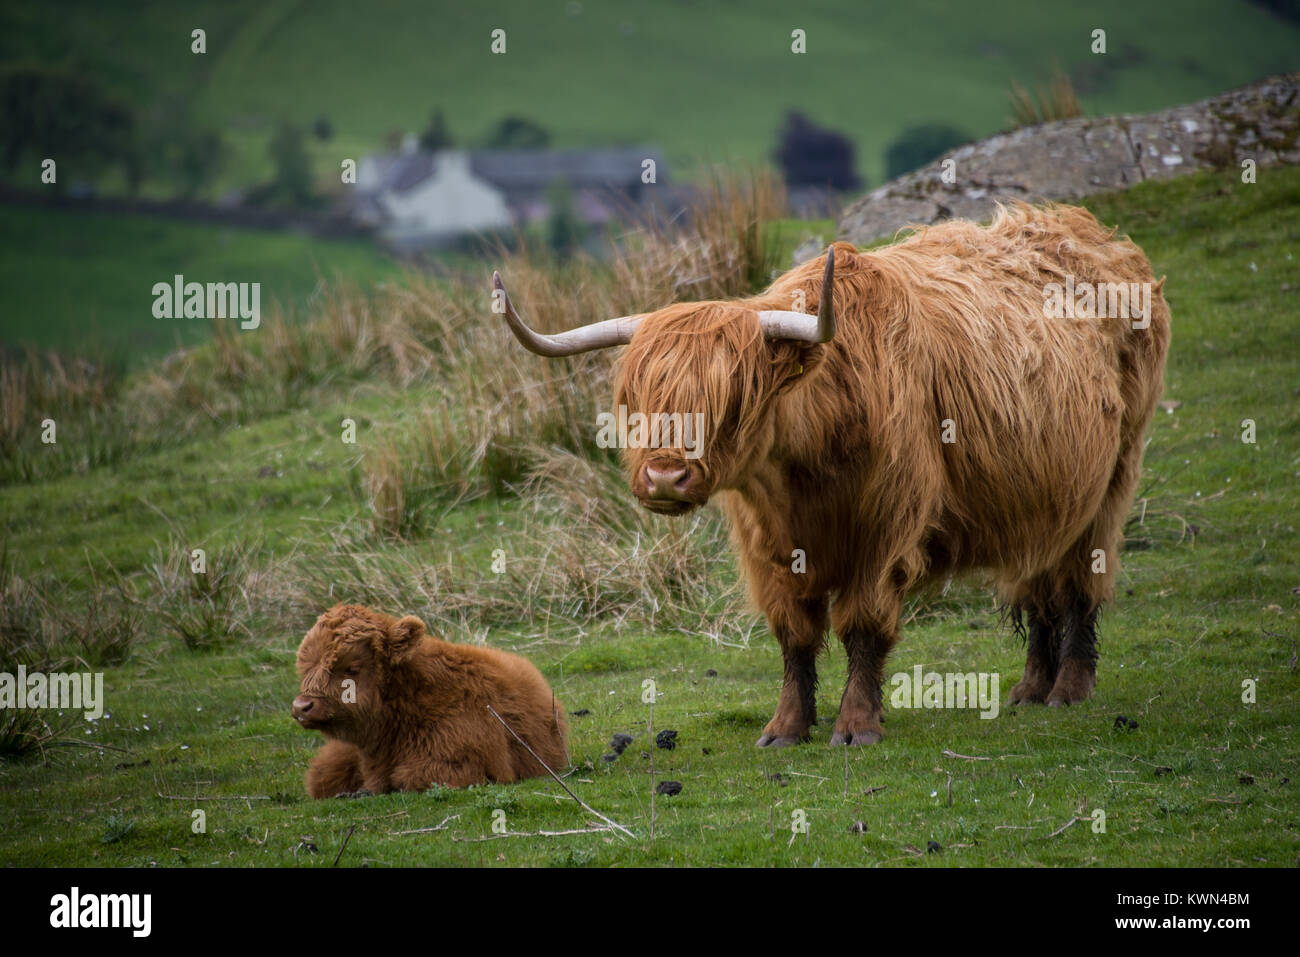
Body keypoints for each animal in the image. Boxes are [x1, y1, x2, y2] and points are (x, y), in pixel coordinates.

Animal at [492, 202, 1170, 747]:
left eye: (733, 399)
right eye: (635, 399)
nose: (663, 477)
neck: (800, 479)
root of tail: (1091, 233)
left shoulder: (887, 532)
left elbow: (861, 626)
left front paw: (855, 725)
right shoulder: (765, 547)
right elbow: (794, 634)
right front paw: (786, 728)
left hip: (1114, 477)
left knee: (1081, 579)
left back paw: (1070, 688)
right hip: (1042, 496)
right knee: (1038, 585)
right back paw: (1030, 688)